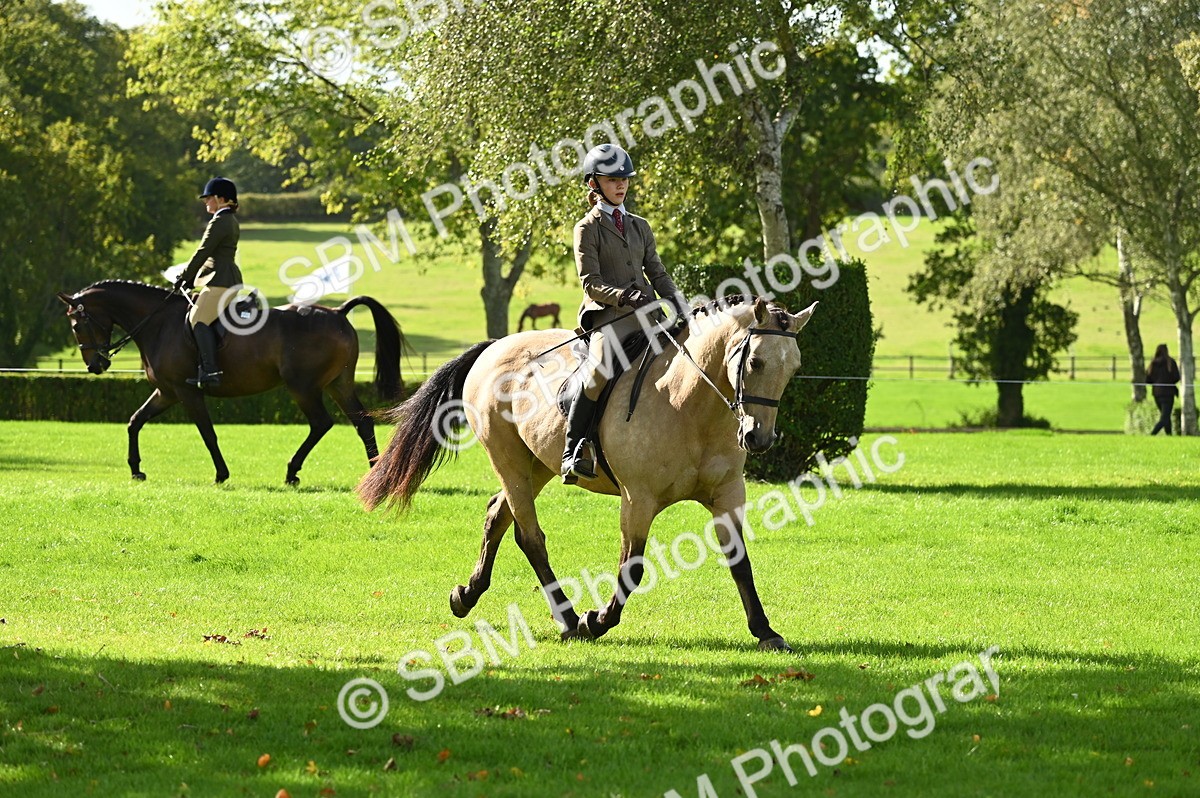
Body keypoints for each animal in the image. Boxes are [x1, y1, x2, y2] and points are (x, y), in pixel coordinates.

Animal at [58, 280, 404, 485]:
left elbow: (208, 434)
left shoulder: (185, 391)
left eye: (76, 324)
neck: (158, 323)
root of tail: (337, 312)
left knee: (321, 423)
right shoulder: (166, 391)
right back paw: (376, 470)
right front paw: (136, 469)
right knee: (362, 422)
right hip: (337, 384)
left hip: (303, 387)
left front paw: (221, 474)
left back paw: (292, 471)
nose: (95, 365)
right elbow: (134, 421)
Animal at [358, 295, 817, 651]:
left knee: (497, 515)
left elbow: (740, 561)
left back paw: (466, 596)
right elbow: (632, 569)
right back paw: (567, 619)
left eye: (794, 367)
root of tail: (494, 347)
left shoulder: (727, 494)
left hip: (537, 464)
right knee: (530, 536)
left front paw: (765, 631)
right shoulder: (638, 499)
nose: (758, 438)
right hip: (508, 460)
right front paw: (596, 620)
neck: (690, 406)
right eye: (755, 361)